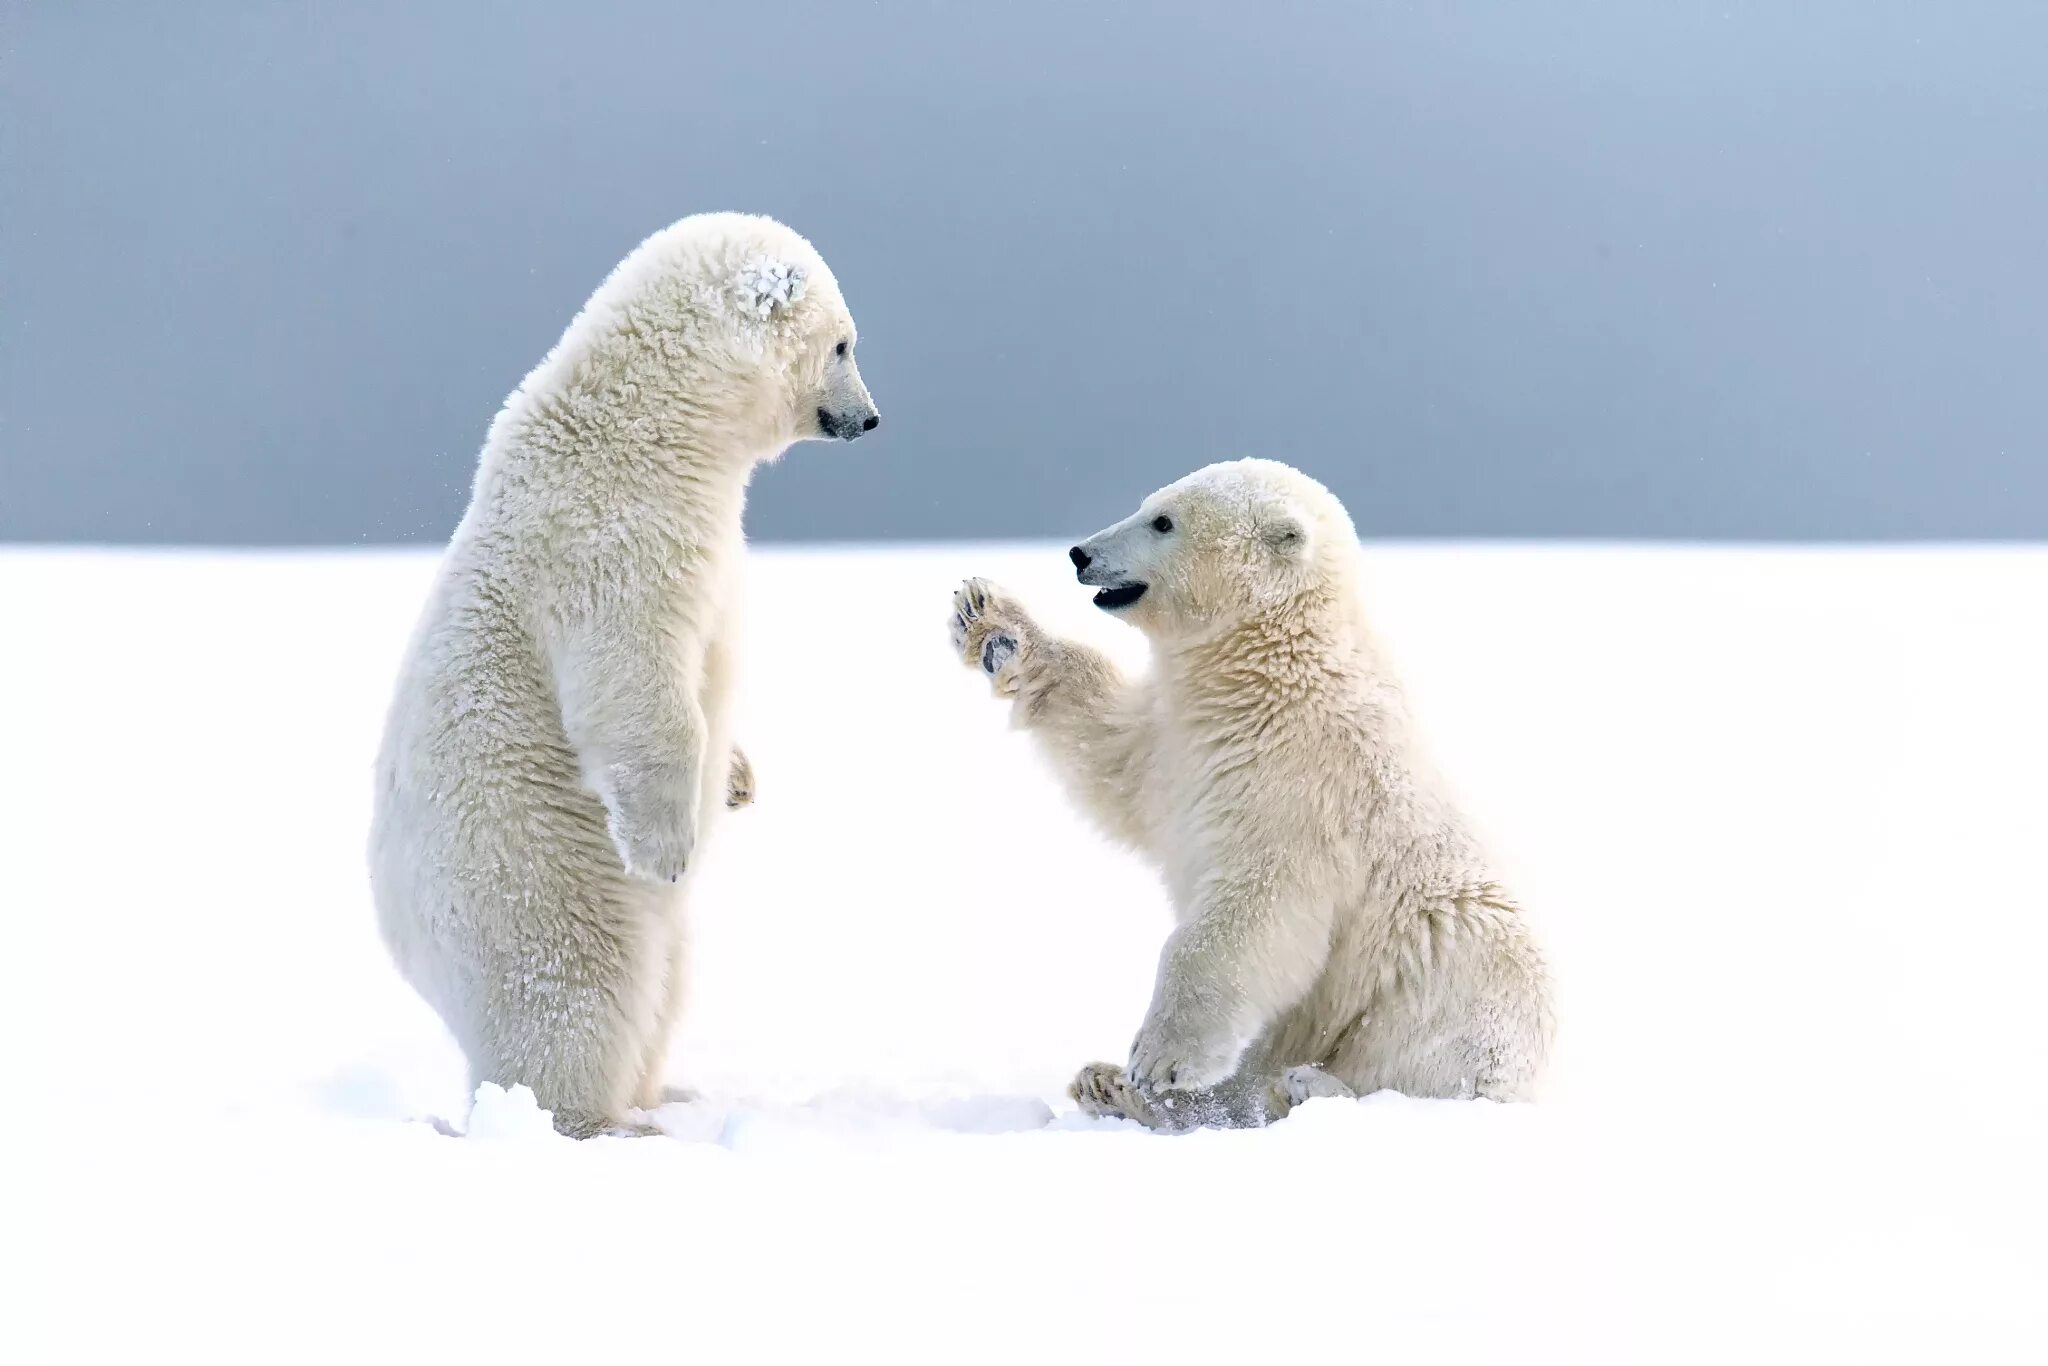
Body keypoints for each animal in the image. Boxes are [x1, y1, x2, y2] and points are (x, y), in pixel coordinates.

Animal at [374, 214, 880, 1138]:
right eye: (842, 343)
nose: (868, 417)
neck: (645, 423)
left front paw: (739, 778)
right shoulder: (612, 535)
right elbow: (634, 681)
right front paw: (669, 845)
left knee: (667, 985)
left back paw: (666, 1094)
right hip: (527, 882)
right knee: (578, 994)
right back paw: (603, 1121)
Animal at [954, 458, 1548, 1130]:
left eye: (1164, 522)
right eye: (1148, 505)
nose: (1081, 553)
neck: (1272, 668)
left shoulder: (1300, 781)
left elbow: (1255, 912)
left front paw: (1159, 1059)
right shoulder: (1182, 739)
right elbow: (1111, 755)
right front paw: (990, 621)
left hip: (1448, 985)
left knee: (1424, 1060)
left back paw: (1304, 1087)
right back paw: (1110, 1085)